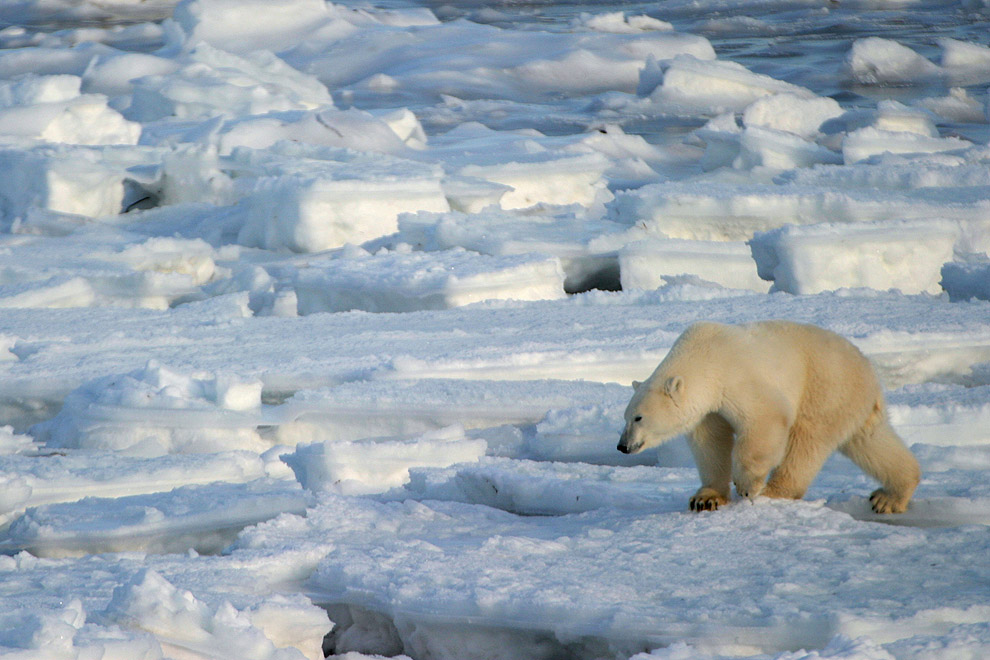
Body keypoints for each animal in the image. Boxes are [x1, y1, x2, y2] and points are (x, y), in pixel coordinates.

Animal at [620, 322, 924, 512]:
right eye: (625, 417)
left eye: (638, 418)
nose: (622, 446)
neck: (704, 357)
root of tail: (869, 369)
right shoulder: (708, 408)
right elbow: (711, 442)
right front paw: (705, 499)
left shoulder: (738, 377)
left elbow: (765, 419)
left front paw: (746, 486)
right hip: (853, 404)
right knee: (870, 441)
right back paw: (889, 497)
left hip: (825, 388)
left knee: (806, 442)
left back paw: (774, 491)